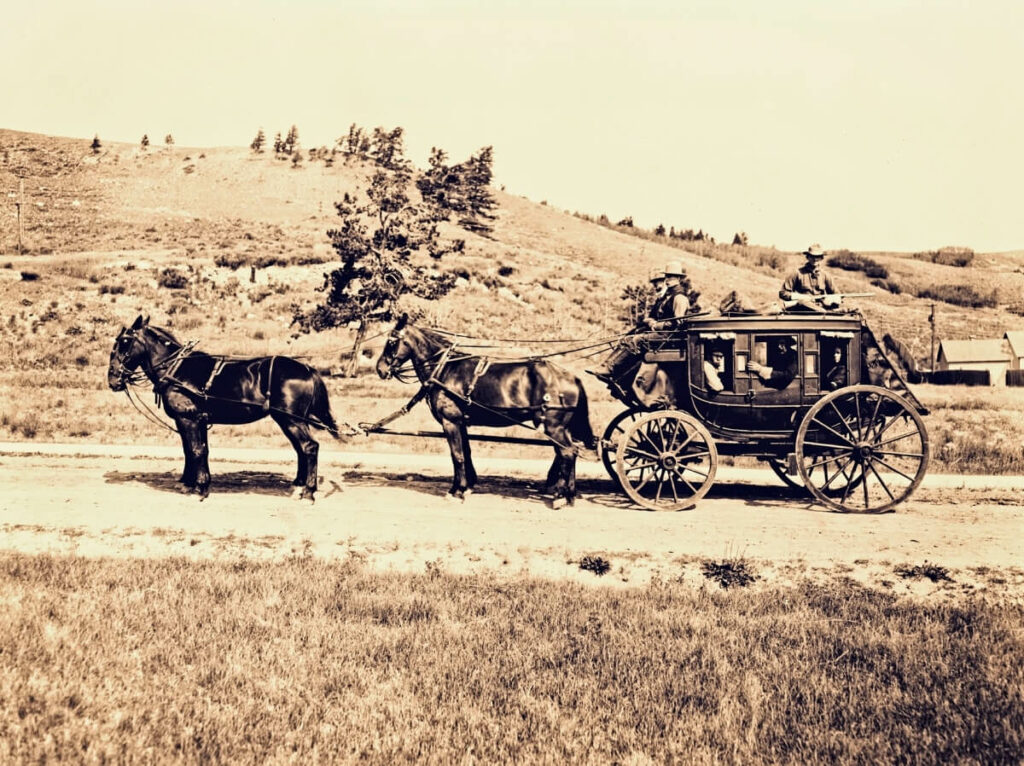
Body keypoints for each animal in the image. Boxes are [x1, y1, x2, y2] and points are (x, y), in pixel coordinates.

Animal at [108, 313, 342, 499]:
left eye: (125, 341)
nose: (112, 379)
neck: (177, 369)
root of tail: (307, 368)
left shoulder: (189, 418)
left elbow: (196, 450)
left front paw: (200, 488)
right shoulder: (195, 420)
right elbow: (194, 450)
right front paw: (189, 482)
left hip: (291, 419)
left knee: (309, 447)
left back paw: (308, 491)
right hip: (290, 420)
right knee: (301, 448)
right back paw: (299, 484)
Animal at [378, 313, 598, 505]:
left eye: (391, 342)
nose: (380, 369)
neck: (445, 369)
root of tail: (572, 377)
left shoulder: (450, 421)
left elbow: (457, 456)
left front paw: (456, 491)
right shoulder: (461, 422)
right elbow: (466, 453)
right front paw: (466, 487)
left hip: (553, 427)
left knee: (567, 453)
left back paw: (561, 496)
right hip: (562, 428)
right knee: (571, 452)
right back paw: (569, 494)